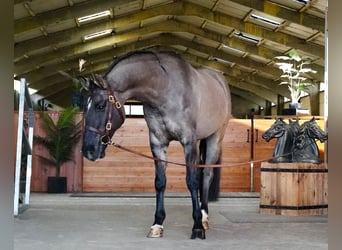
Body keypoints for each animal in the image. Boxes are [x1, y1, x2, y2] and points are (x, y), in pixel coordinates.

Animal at [79, 49, 231, 239]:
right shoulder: (158, 143)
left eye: (100, 106)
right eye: (85, 106)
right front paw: (157, 224)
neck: (164, 88)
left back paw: (203, 218)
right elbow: (160, 182)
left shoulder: (188, 141)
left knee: (207, 175)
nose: (88, 150)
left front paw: (197, 227)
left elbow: (192, 181)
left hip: (215, 138)